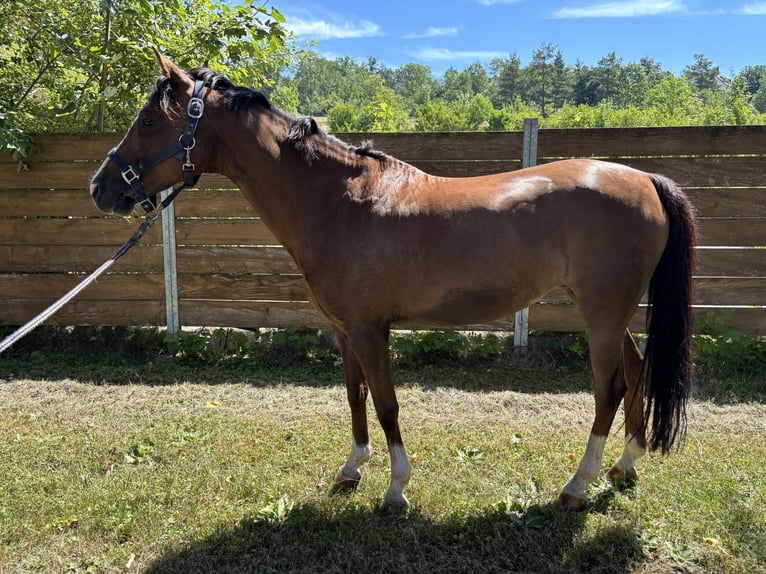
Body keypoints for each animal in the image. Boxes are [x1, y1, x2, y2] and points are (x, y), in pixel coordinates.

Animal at [89, 50, 697, 511]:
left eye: (149, 121)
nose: (100, 188)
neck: (340, 204)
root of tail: (646, 177)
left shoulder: (369, 329)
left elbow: (386, 404)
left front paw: (396, 489)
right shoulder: (343, 330)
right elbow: (355, 397)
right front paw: (351, 469)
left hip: (601, 314)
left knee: (609, 387)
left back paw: (577, 485)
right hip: (609, 314)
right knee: (637, 373)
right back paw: (625, 466)